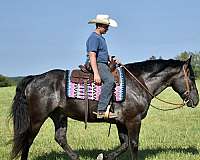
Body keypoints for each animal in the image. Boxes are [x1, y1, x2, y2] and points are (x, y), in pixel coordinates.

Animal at [10, 57, 198, 159]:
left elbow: (124, 144)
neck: (139, 82)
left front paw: (104, 156)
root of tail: (35, 78)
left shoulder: (121, 122)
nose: (195, 101)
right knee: (27, 140)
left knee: (60, 137)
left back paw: (76, 157)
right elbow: (133, 144)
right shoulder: (133, 121)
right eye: (192, 77)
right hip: (37, 119)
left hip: (59, 116)